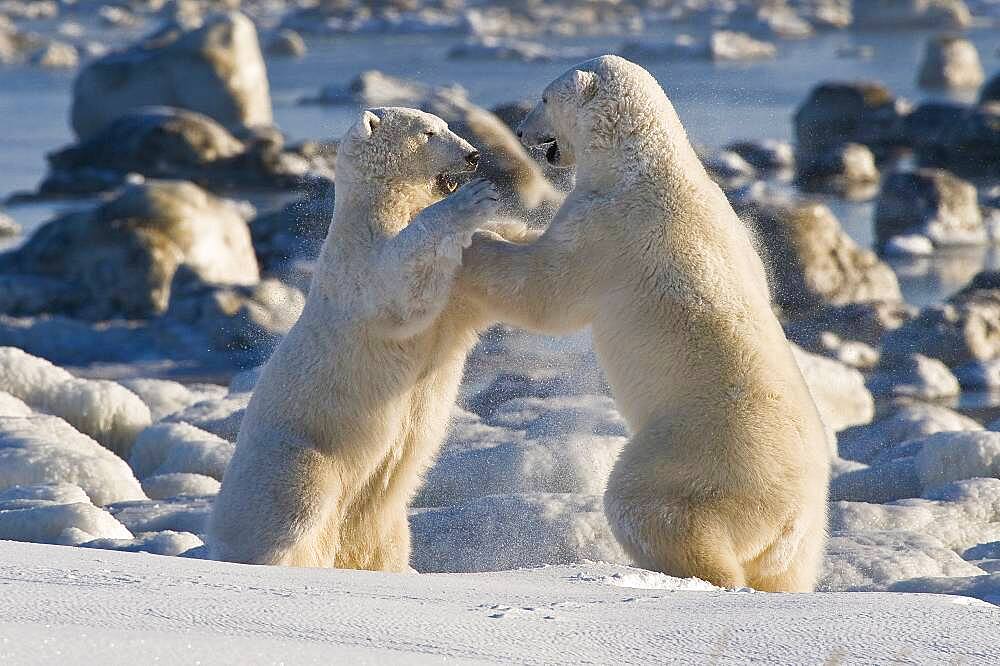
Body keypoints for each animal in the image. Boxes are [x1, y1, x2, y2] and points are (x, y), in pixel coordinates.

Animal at [206, 106, 512, 568]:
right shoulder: (357, 263)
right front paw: (474, 201)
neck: (378, 209)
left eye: (447, 126)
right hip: (299, 454)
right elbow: (397, 284)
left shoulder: (451, 302)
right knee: (294, 509)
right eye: (429, 132)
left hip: (382, 516)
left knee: (382, 536)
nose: (474, 156)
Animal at [460, 54, 828, 588]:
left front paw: (477, 241)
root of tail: (788, 514)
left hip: (694, 457)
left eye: (545, 97)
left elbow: (546, 292)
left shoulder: (610, 227)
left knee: (649, 506)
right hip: (803, 536)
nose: (523, 131)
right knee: (784, 571)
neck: (644, 165)